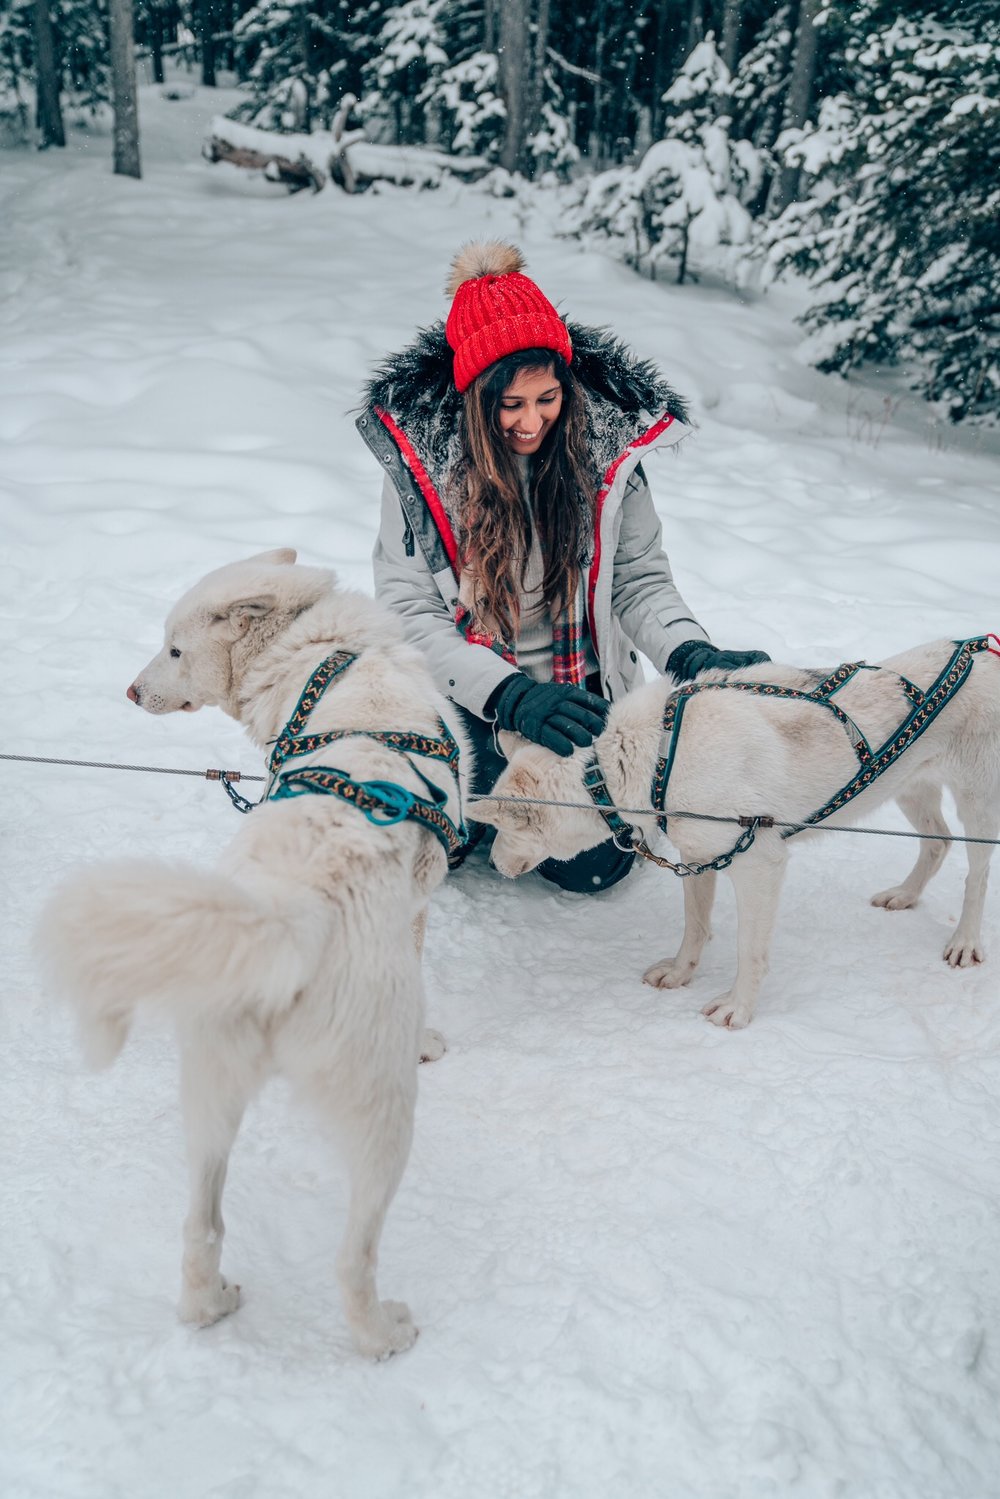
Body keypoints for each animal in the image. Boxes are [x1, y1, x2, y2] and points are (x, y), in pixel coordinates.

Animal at [40, 554, 473, 1361]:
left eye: (174, 649)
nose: (131, 690)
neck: (324, 653)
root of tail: (290, 918)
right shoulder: (419, 905)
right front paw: (430, 1037)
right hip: (382, 1113)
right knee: (352, 1258)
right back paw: (382, 1334)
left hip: (209, 1097)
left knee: (201, 1226)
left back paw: (209, 1303)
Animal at [470, 632, 1000, 1031]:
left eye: (502, 830)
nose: (491, 862)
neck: (648, 756)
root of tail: (986, 652)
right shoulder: (699, 856)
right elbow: (695, 926)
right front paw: (680, 973)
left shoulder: (760, 865)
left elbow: (750, 949)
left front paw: (738, 1009)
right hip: (906, 785)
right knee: (938, 842)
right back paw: (905, 895)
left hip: (976, 803)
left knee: (976, 874)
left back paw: (964, 941)